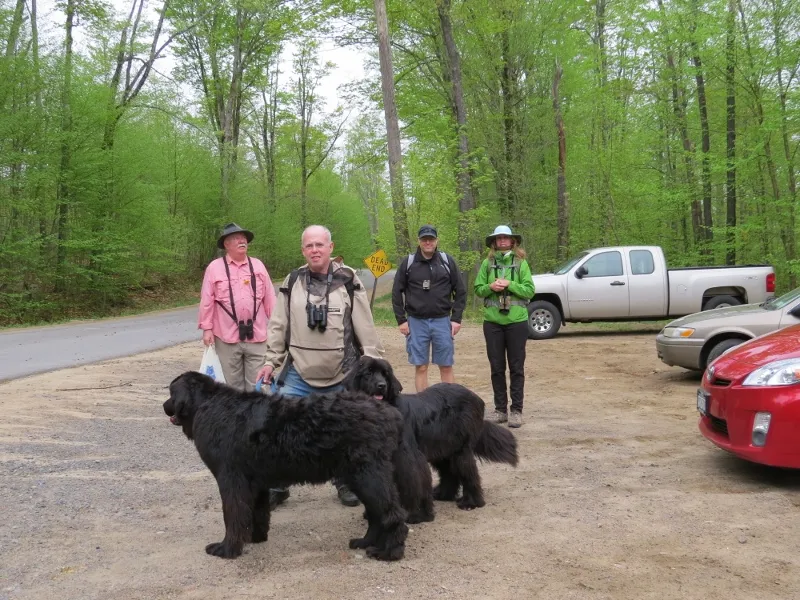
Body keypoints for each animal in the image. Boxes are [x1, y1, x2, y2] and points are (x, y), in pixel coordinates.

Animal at [164, 372, 412, 560]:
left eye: (171, 392)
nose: (165, 406)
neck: (208, 404)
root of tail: (390, 413)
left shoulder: (231, 480)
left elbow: (232, 515)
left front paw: (228, 548)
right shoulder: (255, 483)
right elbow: (257, 512)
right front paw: (255, 538)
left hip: (368, 476)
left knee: (392, 513)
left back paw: (390, 552)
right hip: (362, 477)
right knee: (376, 514)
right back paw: (366, 542)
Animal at [344, 356, 520, 510]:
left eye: (385, 374)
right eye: (368, 373)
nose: (381, 385)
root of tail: (476, 397)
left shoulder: (407, 457)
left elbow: (411, 481)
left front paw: (412, 512)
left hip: (460, 448)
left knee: (468, 472)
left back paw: (471, 502)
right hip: (443, 446)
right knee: (448, 472)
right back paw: (443, 494)